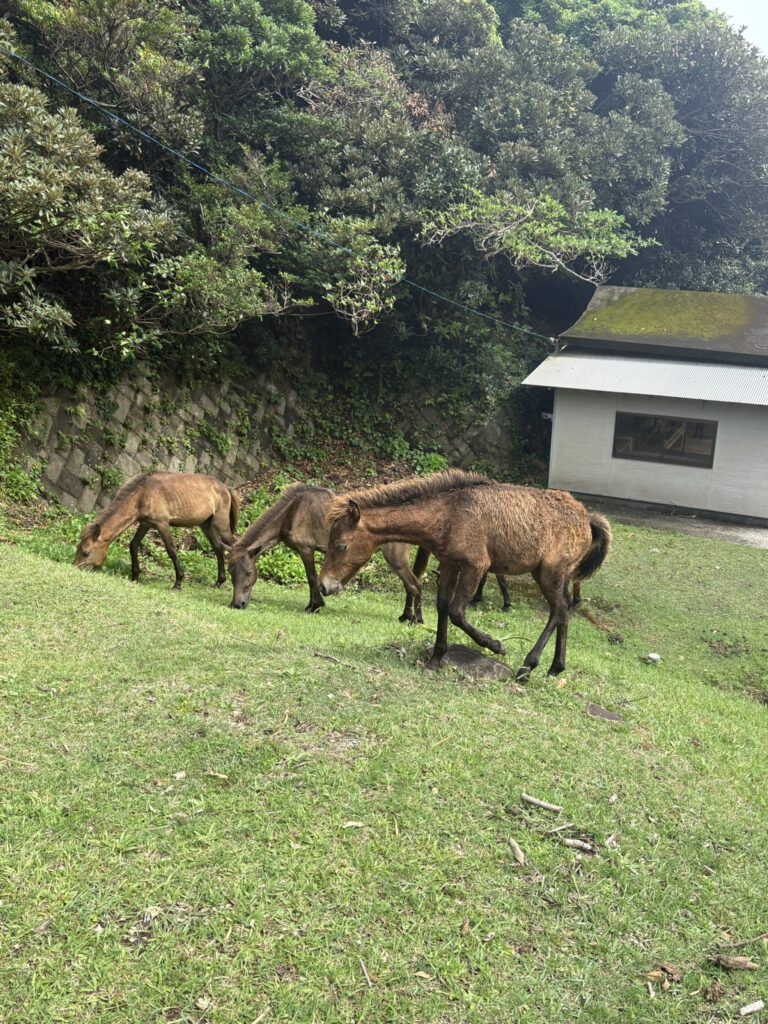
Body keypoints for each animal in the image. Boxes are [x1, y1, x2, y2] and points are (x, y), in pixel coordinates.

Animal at [74, 472, 239, 590]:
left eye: (86, 553)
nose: (76, 569)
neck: (143, 493)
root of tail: (226, 488)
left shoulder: (162, 524)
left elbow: (171, 550)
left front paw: (178, 582)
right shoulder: (145, 524)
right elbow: (133, 545)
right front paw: (135, 576)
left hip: (221, 525)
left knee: (234, 546)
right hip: (206, 525)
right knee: (218, 548)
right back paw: (219, 582)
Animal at [228, 483, 424, 619]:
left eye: (248, 573)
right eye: (231, 573)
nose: (237, 604)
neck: (293, 511)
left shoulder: (306, 549)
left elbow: (311, 577)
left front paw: (314, 606)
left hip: (395, 559)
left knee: (413, 584)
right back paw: (406, 617)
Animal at [318, 469, 610, 678]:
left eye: (340, 545)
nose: (323, 586)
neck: (449, 515)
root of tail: (586, 518)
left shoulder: (475, 566)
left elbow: (457, 612)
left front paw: (495, 645)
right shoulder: (449, 565)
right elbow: (442, 607)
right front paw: (435, 659)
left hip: (549, 574)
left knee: (559, 610)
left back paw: (528, 667)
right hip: (557, 576)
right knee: (564, 611)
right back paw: (555, 668)